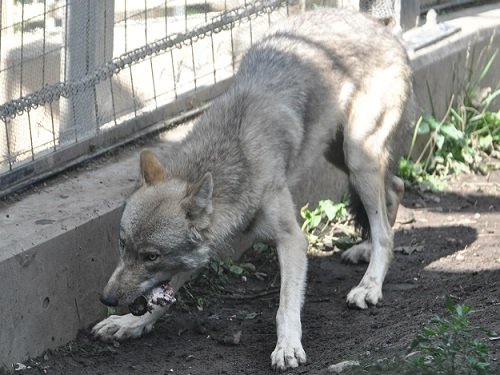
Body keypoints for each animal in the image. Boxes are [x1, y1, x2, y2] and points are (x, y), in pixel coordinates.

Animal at [93, 7, 414, 372]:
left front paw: (287, 347)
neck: (235, 156)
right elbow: (163, 298)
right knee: (395, 189)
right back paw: (364, 248)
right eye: (122, 245)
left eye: (150, 256)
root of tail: (383, 26)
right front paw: (129, 324)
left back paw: (369, 285)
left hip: (357, 157)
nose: (106, 297)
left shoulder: (292, 239)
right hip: (342, 156)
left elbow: (285, 306)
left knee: (385, 231)